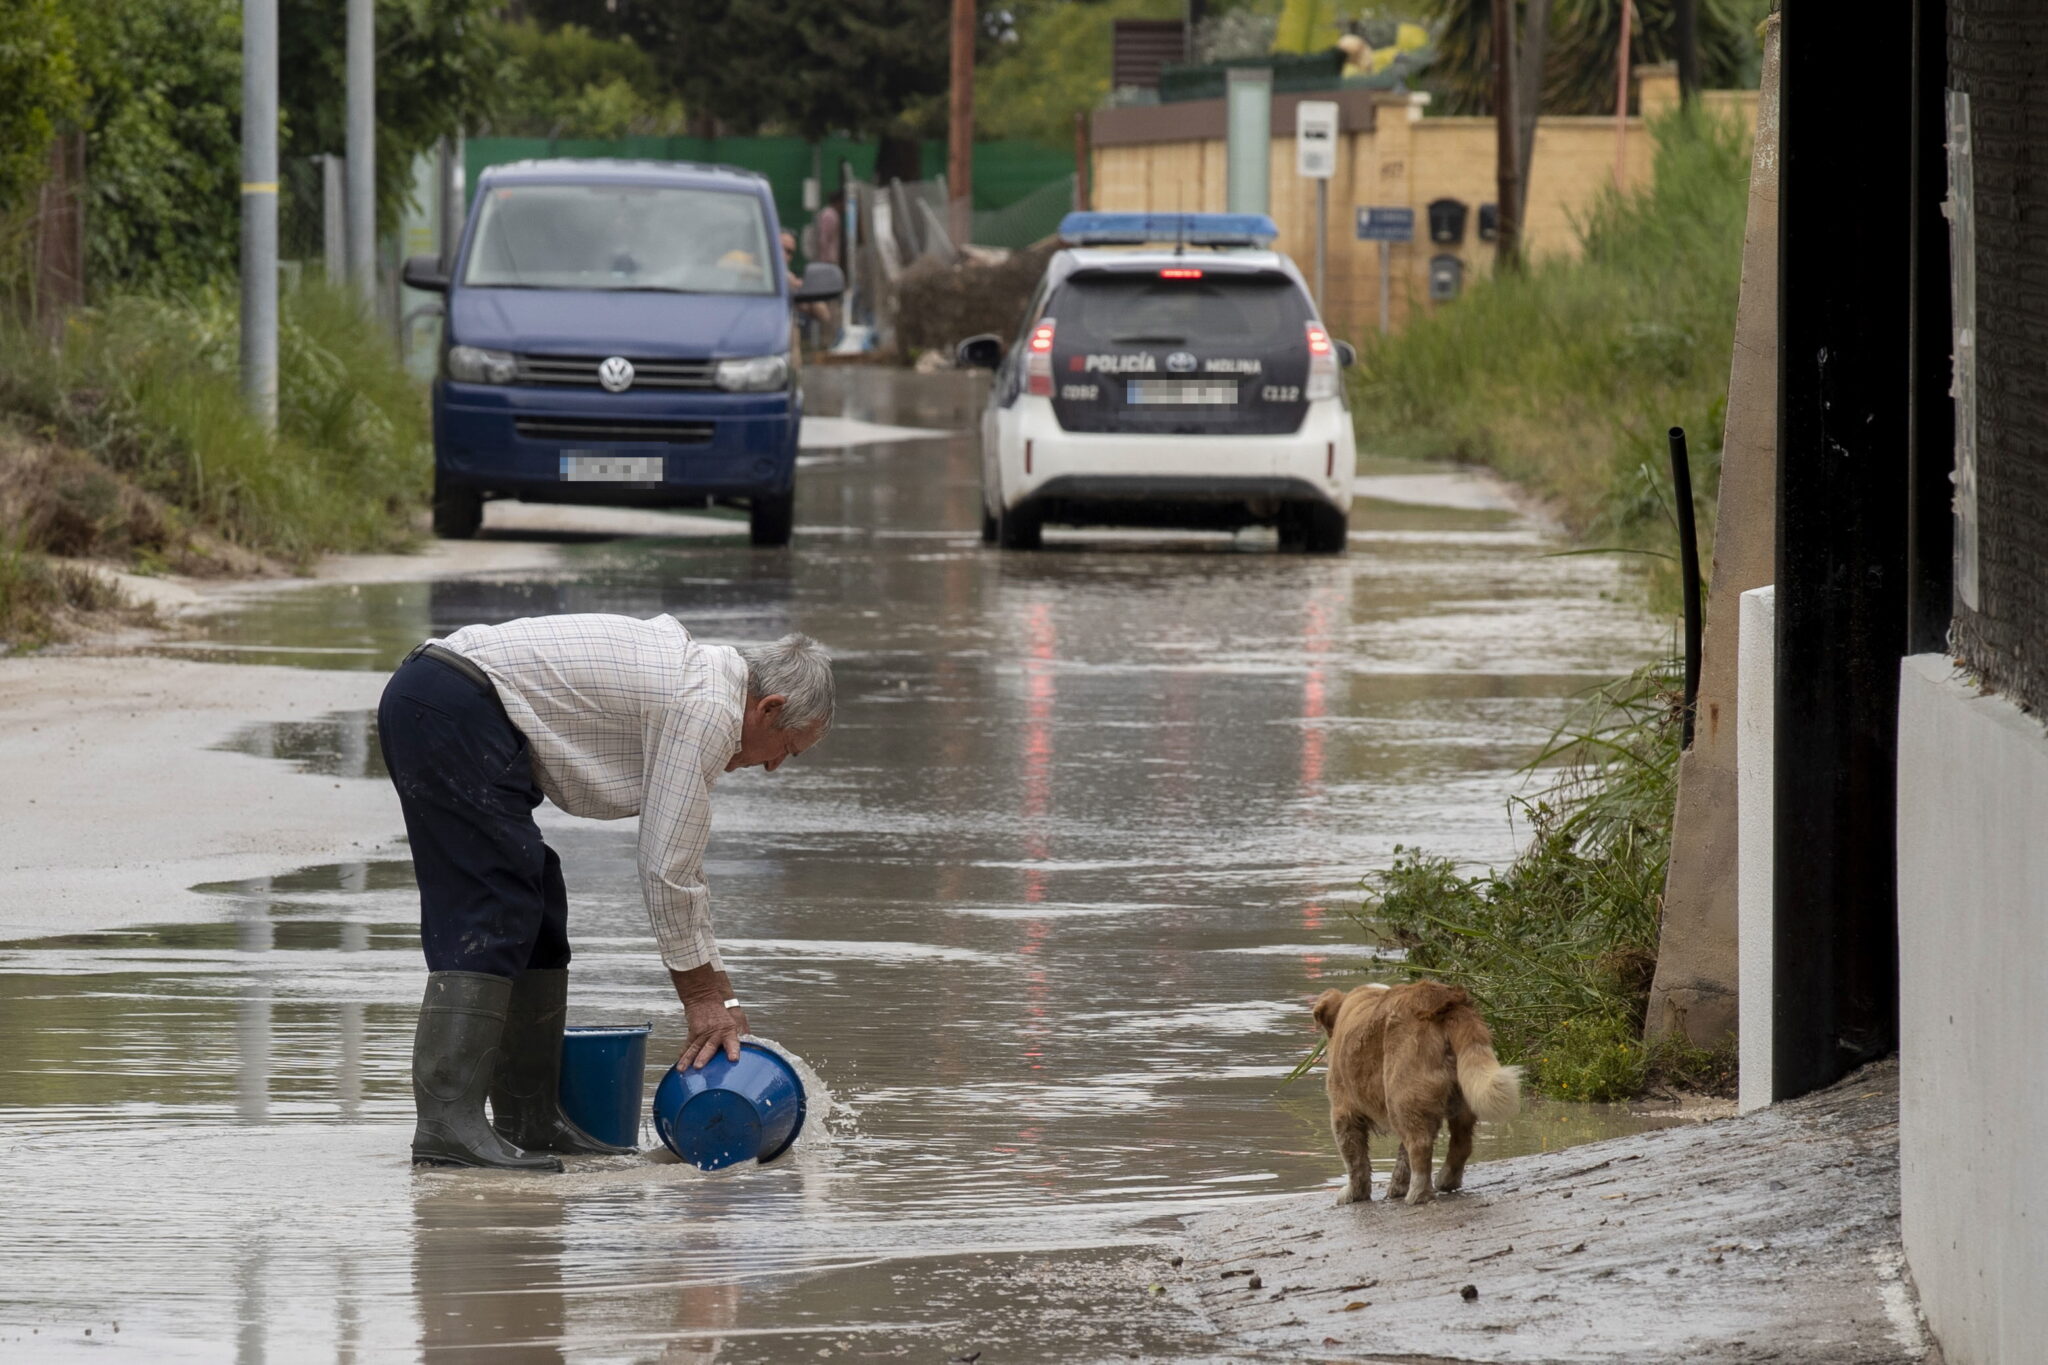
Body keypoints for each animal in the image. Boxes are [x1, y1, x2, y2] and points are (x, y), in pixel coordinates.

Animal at [1310, 982, 1523, 1203]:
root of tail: (1442, 999)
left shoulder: (1343, 1111)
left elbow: (1355, 1159)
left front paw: (1354, 1193)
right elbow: (1402, 1159)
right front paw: (1397, 1187)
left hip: (1401, 1097)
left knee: (1420, 1147)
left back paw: (1418, 1194)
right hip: (1458, 1097)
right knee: (1461, 1143)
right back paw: (1446, 1180)